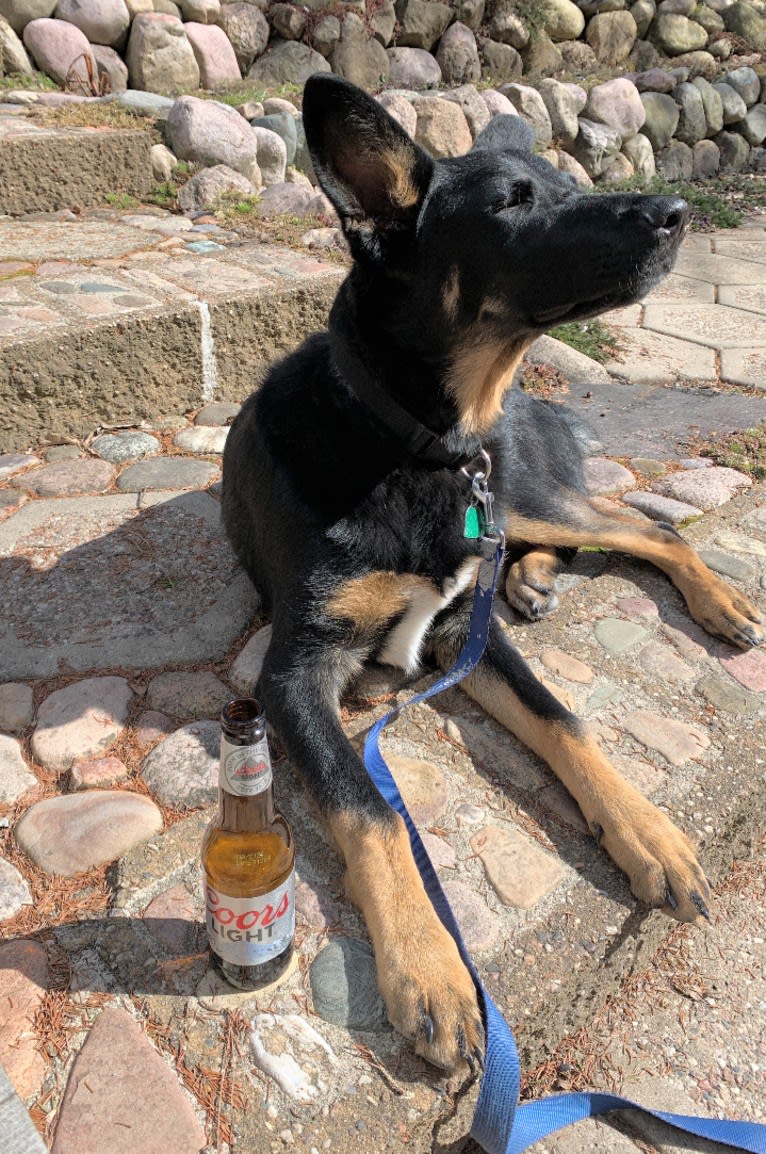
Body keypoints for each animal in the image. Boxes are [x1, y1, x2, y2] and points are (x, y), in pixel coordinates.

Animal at [220, 76, 761, 1070]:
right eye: (511, 205)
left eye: (568, 182)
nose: (675, 214)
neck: (422, 444)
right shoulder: (293, 672)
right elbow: (367, 806)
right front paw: (428, 962)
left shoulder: (461, 631)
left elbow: (564, 719)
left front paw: (647, 830)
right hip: (517, 511)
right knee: (609, 532)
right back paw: (540, 579)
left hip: (528, 496)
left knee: (644, 529)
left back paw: (713, 600)